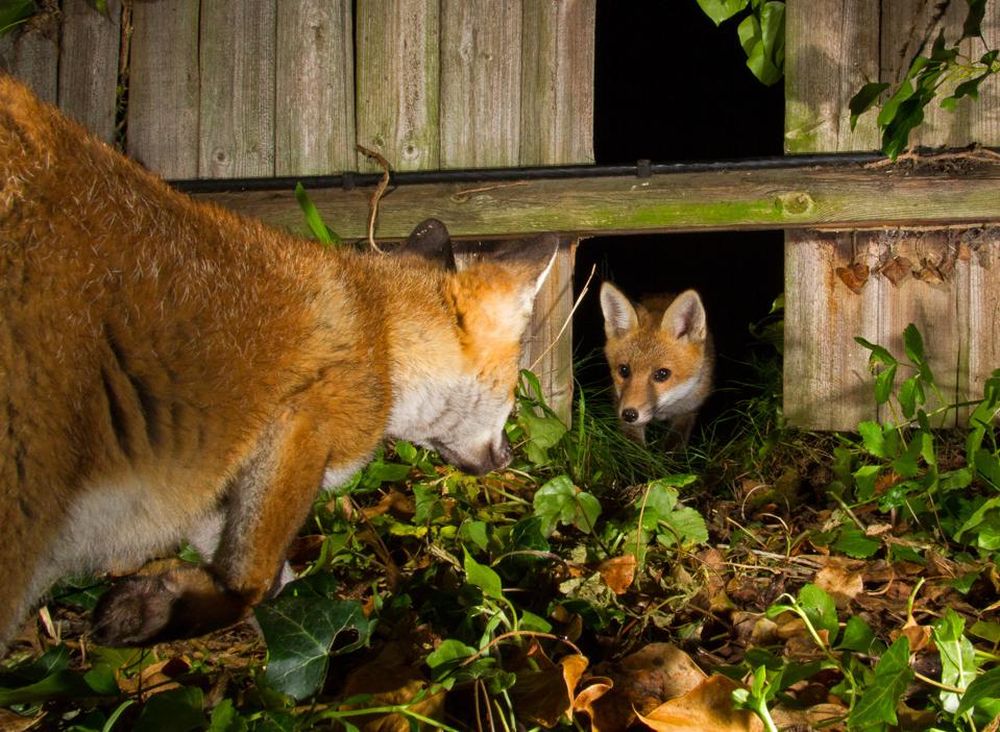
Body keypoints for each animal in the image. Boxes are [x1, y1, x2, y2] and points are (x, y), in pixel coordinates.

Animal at [0, 76, 556, 652]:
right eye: (511, 399)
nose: (510, 457)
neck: (380, 338)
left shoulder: (217, 493)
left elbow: (271, 588)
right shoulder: (303, 422)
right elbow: (251, 584)